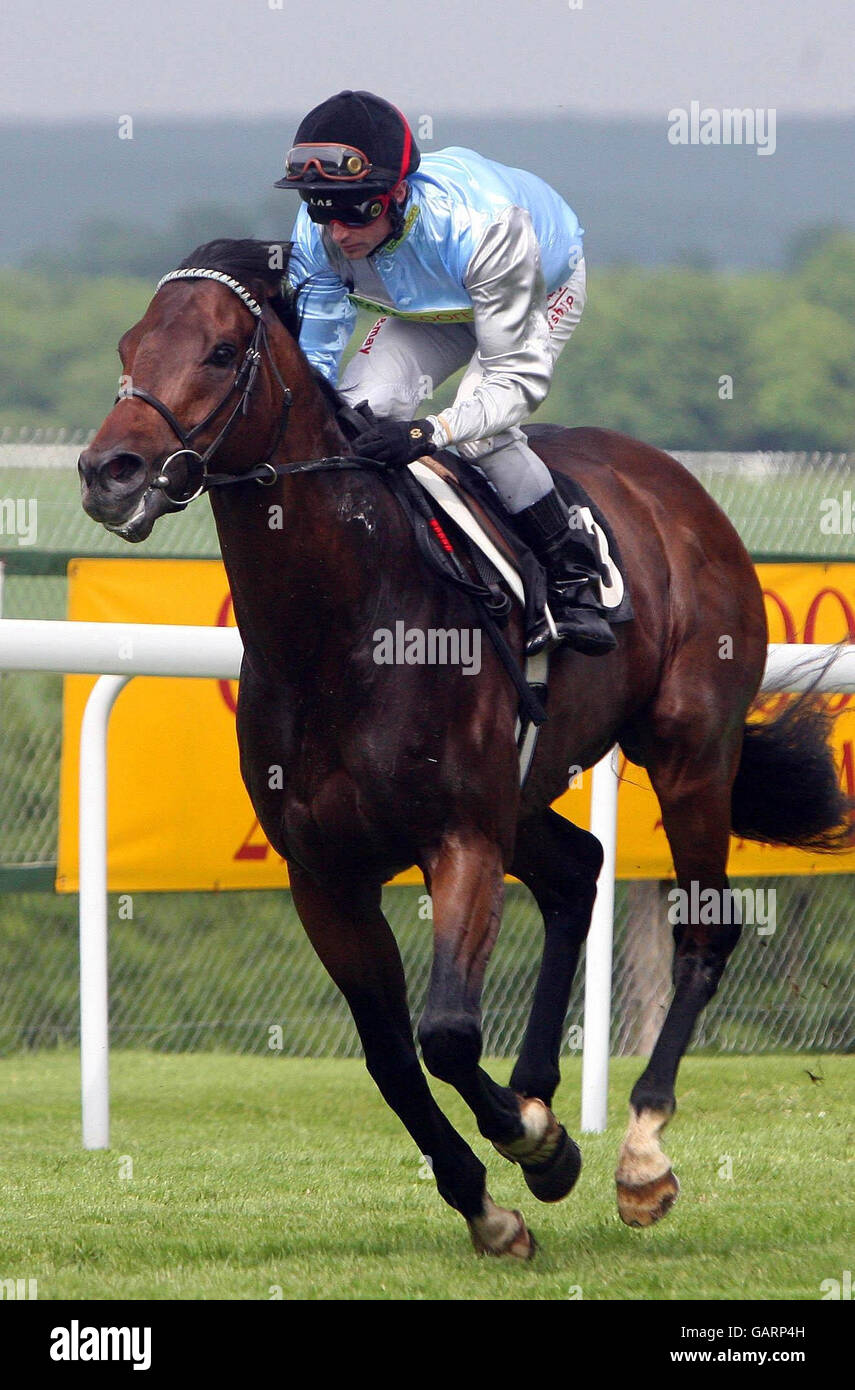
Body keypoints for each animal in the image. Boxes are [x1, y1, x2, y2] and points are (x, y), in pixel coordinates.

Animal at [78, 241, 850, 1262]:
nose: (108, 471)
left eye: (218, 350)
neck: (340, 628)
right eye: (128, 344)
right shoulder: (324, 875)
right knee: (578, 870)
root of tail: (675, 486)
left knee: (703, 931)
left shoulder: (459, 839)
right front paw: (492, 1197)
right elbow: (390, 1057)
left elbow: (444, 1032)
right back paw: (540, 1088)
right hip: (522, 797)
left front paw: (541, 1146)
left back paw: (640, 1152)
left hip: (688, 753)